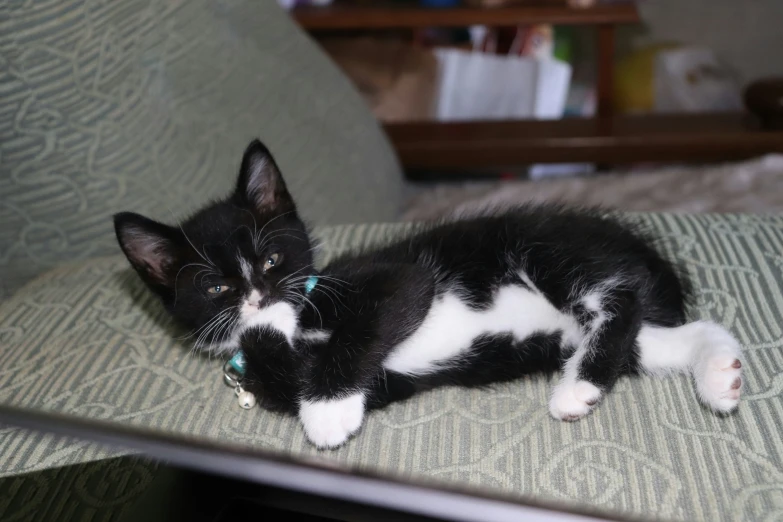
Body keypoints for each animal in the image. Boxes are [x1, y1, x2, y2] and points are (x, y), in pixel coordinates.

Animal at [113, 138, 744, 446]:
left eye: (271, 258)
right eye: (217, 286)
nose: (257, 294)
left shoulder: (393, 278)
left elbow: (366, 324)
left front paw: (326, 415)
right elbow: (297, 371)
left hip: (547, 249)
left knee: (618, 302)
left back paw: (577, 389)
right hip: (580, 332)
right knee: (663, 336)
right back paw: (720, 375)